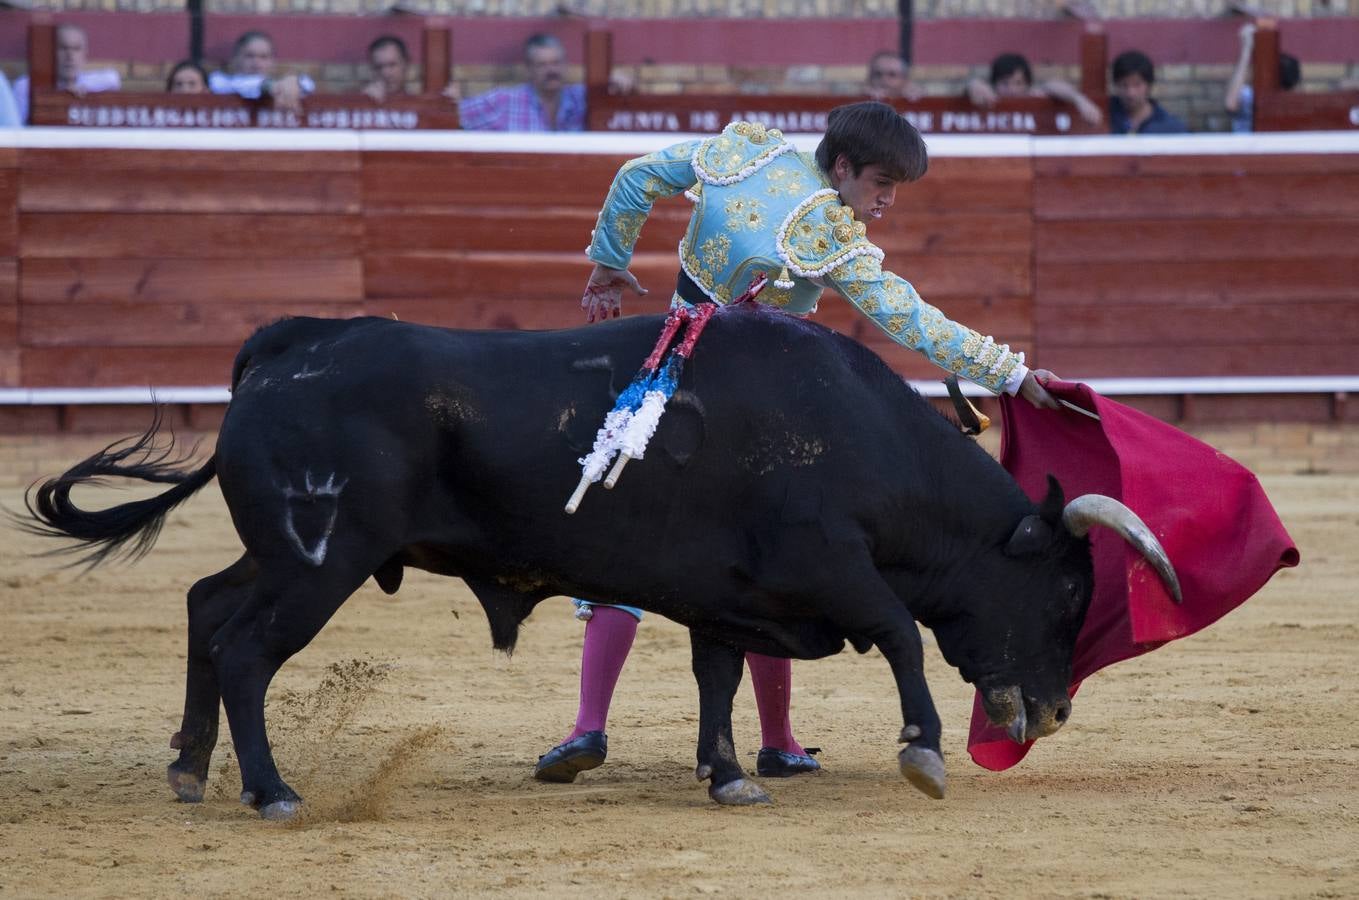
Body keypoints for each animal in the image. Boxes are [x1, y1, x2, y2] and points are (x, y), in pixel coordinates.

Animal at [23, 308, 1179, 815]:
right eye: (1063, 590)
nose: (1054, 710)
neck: (857, 434)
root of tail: (289, 345)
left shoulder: (730, 597)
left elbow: (718, 676)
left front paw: (728, 776)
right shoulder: (832, 568)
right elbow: (898, 633)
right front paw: (924, 752)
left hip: (279, 554)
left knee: (205, 610)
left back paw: (187, 768)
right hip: (320, 561)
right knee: (249, 651)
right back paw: (269, 791)